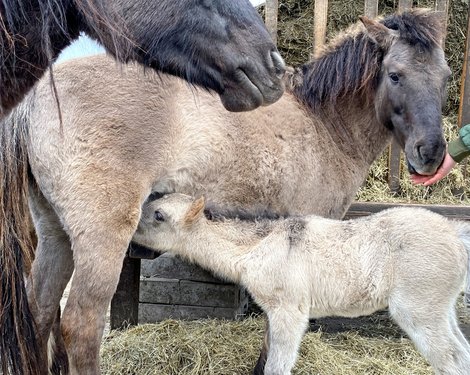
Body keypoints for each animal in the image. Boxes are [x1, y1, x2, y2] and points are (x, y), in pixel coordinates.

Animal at [132, 194, 470, 375]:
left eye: (159, 215)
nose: (130, 229)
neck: (258, 247)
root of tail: (454, 234)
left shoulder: (289, 311)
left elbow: (278, 365)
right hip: (441, 310)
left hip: (418, 311)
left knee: (450, 359)